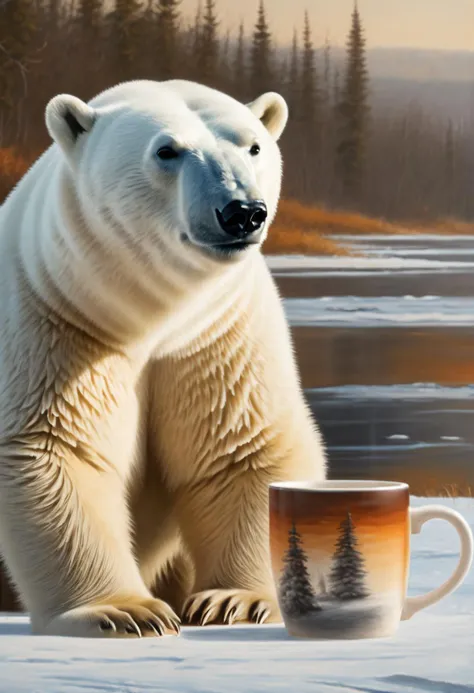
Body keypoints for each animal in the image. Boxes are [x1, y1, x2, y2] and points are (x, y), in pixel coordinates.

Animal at [0, 79, 326, 636]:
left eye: (253, 146)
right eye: (167, 151)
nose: (241, 211)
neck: (148, 318)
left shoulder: (217, 336)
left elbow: (243, 449)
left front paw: (236, 601)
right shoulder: (53, 321)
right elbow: (53, 447)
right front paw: (125, 611)